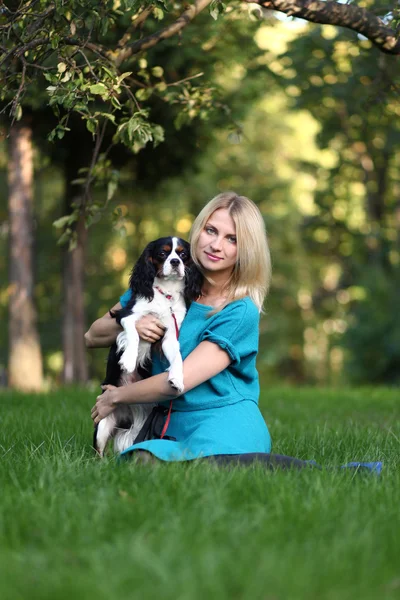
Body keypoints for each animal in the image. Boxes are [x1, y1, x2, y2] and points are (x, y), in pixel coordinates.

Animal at [93, 237, 200, 458]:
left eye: (183, 254)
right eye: (163, 253)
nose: (175, 262)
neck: (165, 294)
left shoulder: (170, 335)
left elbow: (176, 356)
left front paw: (176, 378)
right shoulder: (126, 316)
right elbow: (134, 333)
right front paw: (128, 360)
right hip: (102, 423)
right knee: (98, 452)